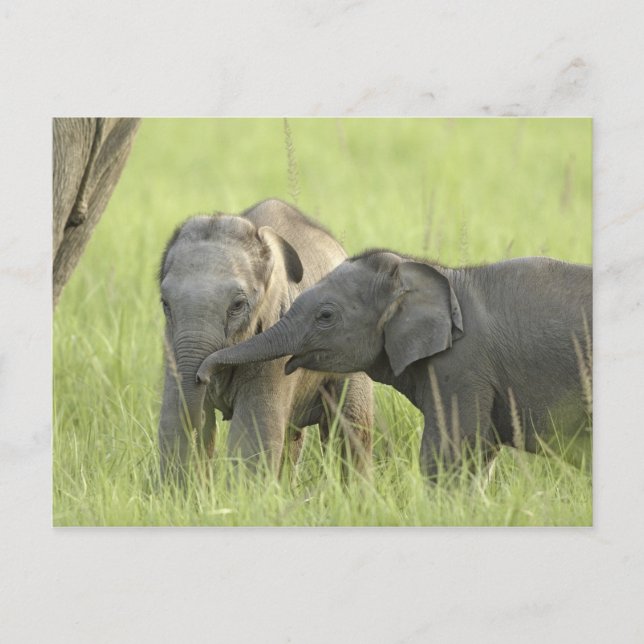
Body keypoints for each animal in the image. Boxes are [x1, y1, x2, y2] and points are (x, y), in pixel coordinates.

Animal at [158, 199, 373, 482]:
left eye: (237, 305)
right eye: (165, 303)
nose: (202, 376)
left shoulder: (276, 339)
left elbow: (252, 436)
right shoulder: (171, 340)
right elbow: (172, 421)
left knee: (351, 429)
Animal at [199, 249, 592, 478]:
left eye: (326, 316)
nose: (203, 374)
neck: (440, 275)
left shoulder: (462, 368)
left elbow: (447, 454)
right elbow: (480, 455)